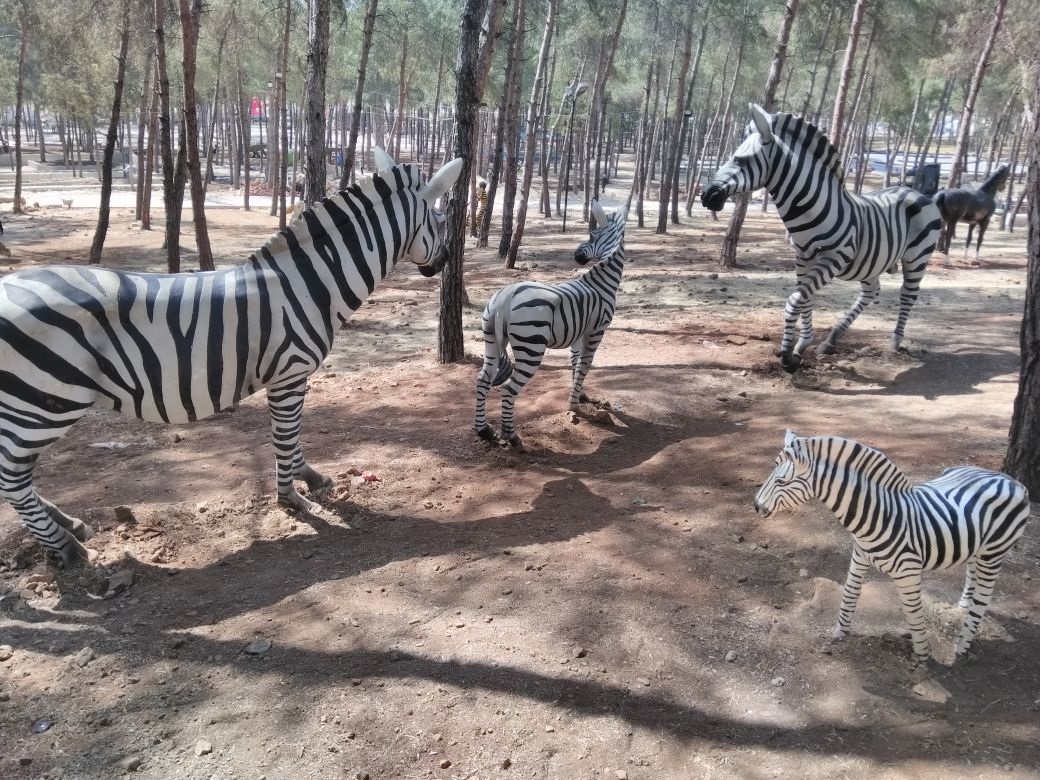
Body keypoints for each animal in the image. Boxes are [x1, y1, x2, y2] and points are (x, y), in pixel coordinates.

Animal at [0, 149, 462, 567]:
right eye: (440, 223)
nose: (441, 263)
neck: (312, 284)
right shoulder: (290, 373)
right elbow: (285, 435)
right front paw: (292, 498)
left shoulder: (288, 377)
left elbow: (292, 436)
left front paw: (309, 478)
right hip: (43, 402)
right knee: (11, 478)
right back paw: (66, 548)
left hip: (28, 405)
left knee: (14, 476)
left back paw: (69, 527)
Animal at [474, 200, 627, 448]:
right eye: (591, 234)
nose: (577, 256)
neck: (601, 284)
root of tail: (506, 296)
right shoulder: (597, 330)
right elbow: (585, 364)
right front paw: (574, 406)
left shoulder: (579, 332)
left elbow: (575, 364)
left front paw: (579, 395)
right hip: (531, 346)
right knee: (508, 390)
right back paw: (510, 435)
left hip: (490, 339)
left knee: (482, 380)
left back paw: (483, 430)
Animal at [701, 104, 942, 373]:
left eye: (741, 160)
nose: (706, 195)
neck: (813, 207)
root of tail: (915, 191)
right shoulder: (802, 257)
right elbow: (805, 298)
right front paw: (803, 344)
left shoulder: (833, 259)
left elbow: (795, 299)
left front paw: (787, 356)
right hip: (872, 260)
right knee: (871, 292)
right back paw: (832, 339)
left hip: (917, 257)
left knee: (908, 293)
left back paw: (894, 342)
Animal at [753, 430, 1031, 667]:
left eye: (781, 481)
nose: (756, 506)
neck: (878, 514)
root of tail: (1009, 479)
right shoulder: (859, 556)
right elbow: (849, 594)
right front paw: (839, 633)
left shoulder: (908, 572)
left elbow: (913, 612)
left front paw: (922, 657)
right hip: (976, 545)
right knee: (971, 571)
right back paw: (962, 605)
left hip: (993, 554)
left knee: (983, 599)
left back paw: (963, 645)